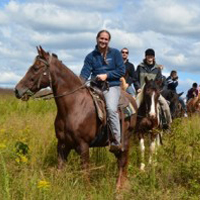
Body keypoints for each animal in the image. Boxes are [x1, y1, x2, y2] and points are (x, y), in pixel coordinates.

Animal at [14, 46, 138, 189]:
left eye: (35, 68)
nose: (17, 90)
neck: (74, 106)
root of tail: (132, 101)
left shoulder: (83, 146)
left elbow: (85, 173)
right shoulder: (62, 145)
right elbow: (60, 169)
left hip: (125, 140)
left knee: (122, 162)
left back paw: (119, 188)